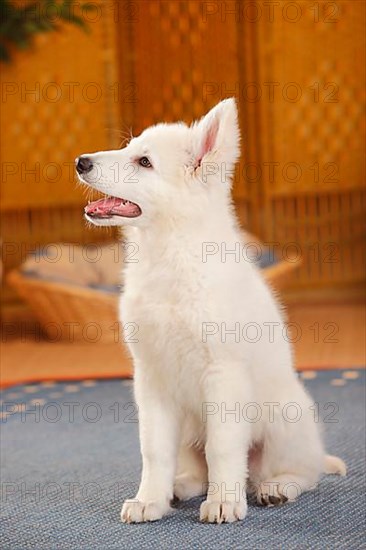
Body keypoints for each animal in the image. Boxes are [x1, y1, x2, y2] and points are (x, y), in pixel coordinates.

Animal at [76, 99, 346, 528]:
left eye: (144, 162)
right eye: (128, 148)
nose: (80, 161)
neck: (170, 255)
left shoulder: (224, 374)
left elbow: (222, 446)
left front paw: (224, 502)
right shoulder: (150, 377)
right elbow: (154, 451)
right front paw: (149, 501)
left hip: (285, 420)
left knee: (304, 473)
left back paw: (276, 487)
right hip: (189, 427)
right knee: (197, 469)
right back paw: (180, 486)